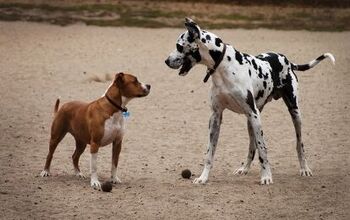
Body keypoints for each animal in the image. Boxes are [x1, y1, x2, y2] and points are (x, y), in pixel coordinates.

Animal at [165, 18, 334, 185]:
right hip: (250, 122)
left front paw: (266, 177)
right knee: (251, 148)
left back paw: (304, 168)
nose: (166, 61)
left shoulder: (254, 115)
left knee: (299, 144)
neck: (224, 66)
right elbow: (209, 152)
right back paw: (244, 168)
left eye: (178, 46)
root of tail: (287, 60)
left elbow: (263, 149)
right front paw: (203, 177)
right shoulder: (216, 117)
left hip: (293, 114)